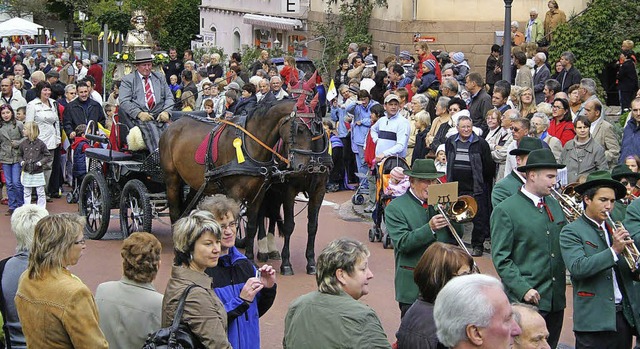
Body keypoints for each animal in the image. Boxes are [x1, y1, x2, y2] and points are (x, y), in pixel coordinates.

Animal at [159, 99, 316, 260]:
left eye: (315, 130)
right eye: (299, 129)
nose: (304, 166)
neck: (249, 146)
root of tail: (172, 126)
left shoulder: (257, 195)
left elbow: (252, 226)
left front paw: (250, 257)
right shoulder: (234, 194)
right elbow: (231, 224)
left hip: (196, 184)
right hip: (172, 180)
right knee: (174, 212)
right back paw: (178, 250)